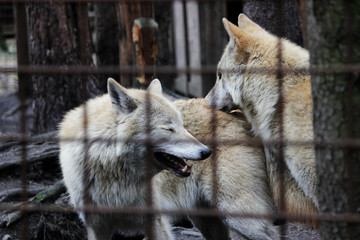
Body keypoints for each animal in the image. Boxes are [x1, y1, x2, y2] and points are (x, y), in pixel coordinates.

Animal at [58, 78, 278, 238]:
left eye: (182, 126)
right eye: (169, 129)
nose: (206, 152)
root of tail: (240, 114)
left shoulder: (156, 223)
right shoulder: (97, 227)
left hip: (241, 217)